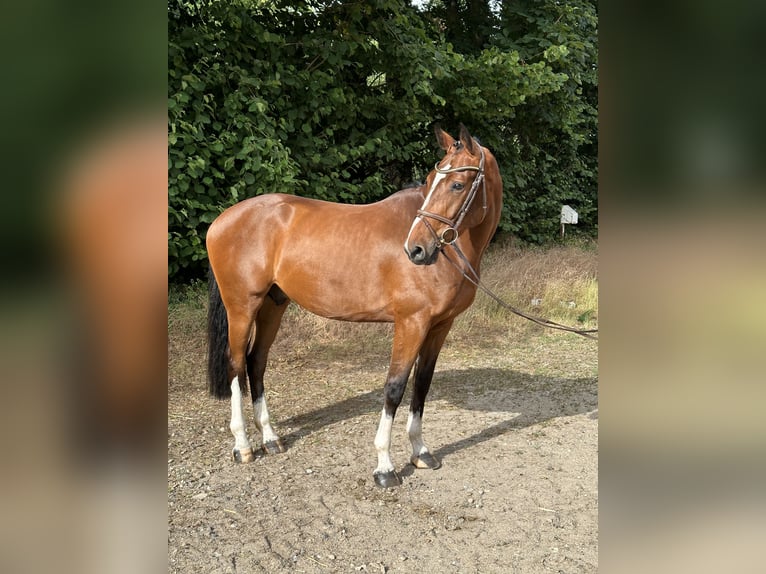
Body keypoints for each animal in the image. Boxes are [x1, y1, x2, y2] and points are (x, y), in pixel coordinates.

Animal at [207, 124, 504, 488]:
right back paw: (243, 445)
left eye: (457, 184)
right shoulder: (411, 323)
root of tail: (222, 220)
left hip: (273, 305)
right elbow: (395, 386)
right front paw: (385, 467)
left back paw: (270, 438)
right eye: (432, 178)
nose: (416, 249)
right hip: (241, 308)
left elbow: (422, 384)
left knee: (255, 362)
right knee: (236, 365)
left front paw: (420, 452)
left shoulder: (439, 325)